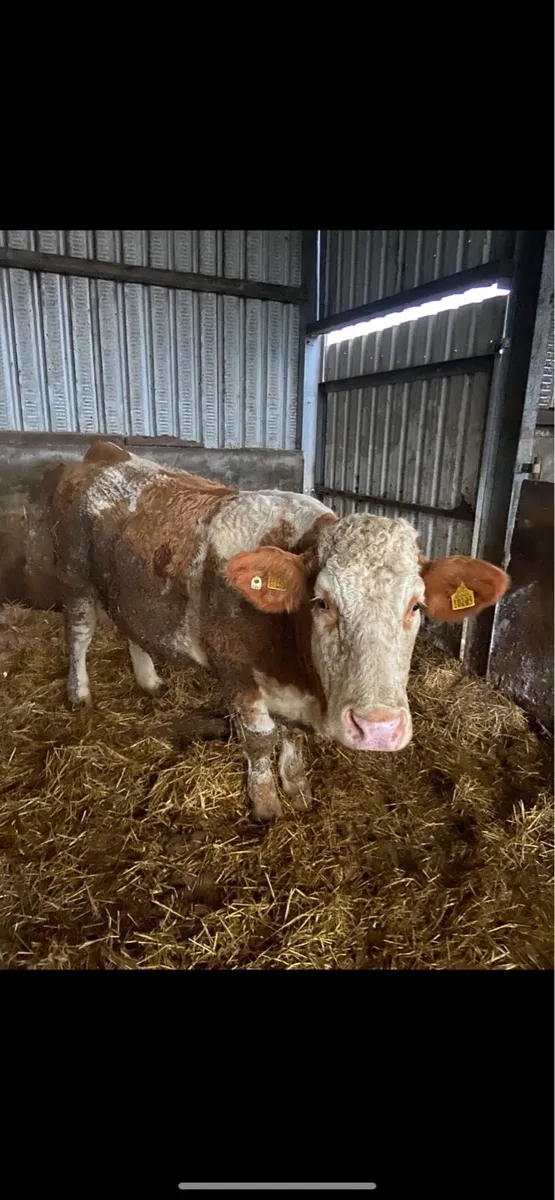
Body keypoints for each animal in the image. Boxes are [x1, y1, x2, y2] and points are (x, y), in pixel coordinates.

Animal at [49, 440, 509, 822]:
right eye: (322, 601)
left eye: (415, 606)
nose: (377, 729)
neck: (296, 664)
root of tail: (107, 452)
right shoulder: (235, 673)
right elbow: (260, 740)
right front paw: (266, 803)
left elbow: (293, 737)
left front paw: (297, 788)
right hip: (74, 576)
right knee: (79, 633)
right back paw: (79, 694)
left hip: (127, 588)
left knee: (131, 629)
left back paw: (148, 681)